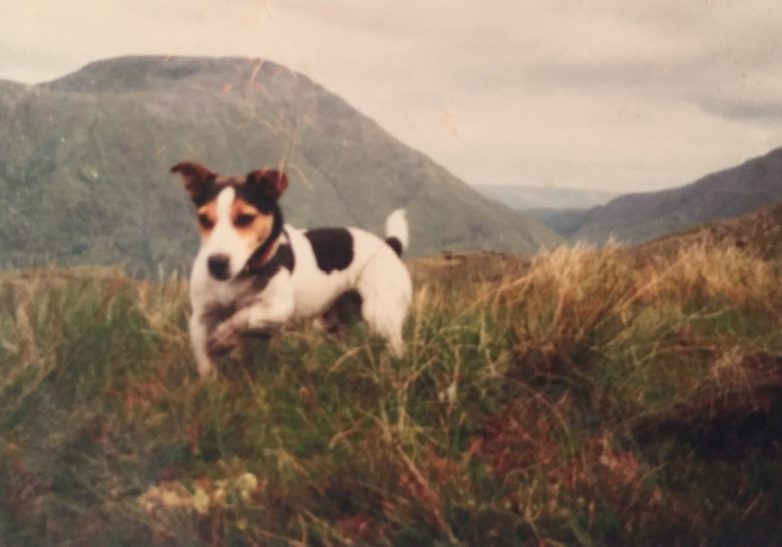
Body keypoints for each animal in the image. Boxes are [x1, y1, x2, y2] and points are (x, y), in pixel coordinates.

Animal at [174, 161, 414, 378]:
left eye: (245, 218)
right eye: (204, 219)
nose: (216, 263)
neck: (241, 275)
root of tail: (389, 246)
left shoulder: (277, 309)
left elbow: (241, 317)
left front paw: (223, 339)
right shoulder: (201, 318)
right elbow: (204, 357)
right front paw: (210, 382)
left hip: (382, 316)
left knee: (397, 346)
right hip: (330, 322)